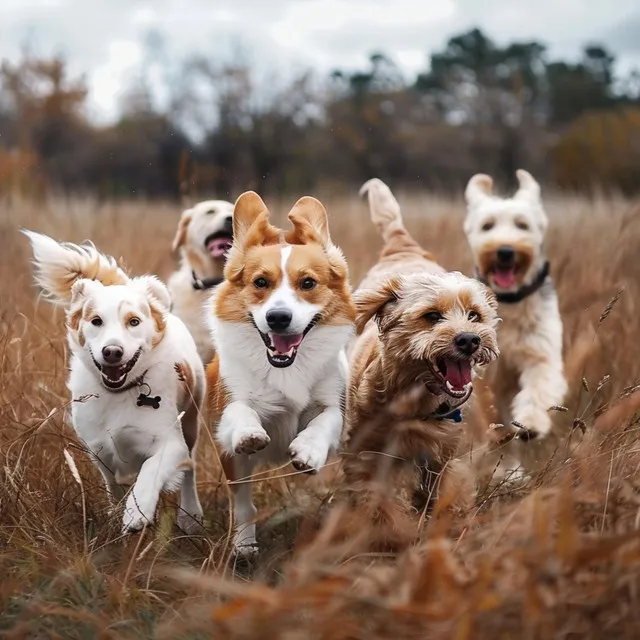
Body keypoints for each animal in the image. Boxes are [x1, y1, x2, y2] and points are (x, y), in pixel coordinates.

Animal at [23, 230, 204, 536]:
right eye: (96, 321)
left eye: (134, 321)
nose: (112, 351)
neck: (120, 392)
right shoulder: (98, 448)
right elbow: (112, 483)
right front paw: (117, 511)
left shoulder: (170, 441)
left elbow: (150, 470)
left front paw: (136, 512)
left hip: (191, 420)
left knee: (189, 469)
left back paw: (191, 516)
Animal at [464, 168, 564, 442]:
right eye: (487, 226)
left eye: (522, 225)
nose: (505, 251)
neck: (508, 301)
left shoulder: (540, 352)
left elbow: (538, 388)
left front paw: (530, 423)